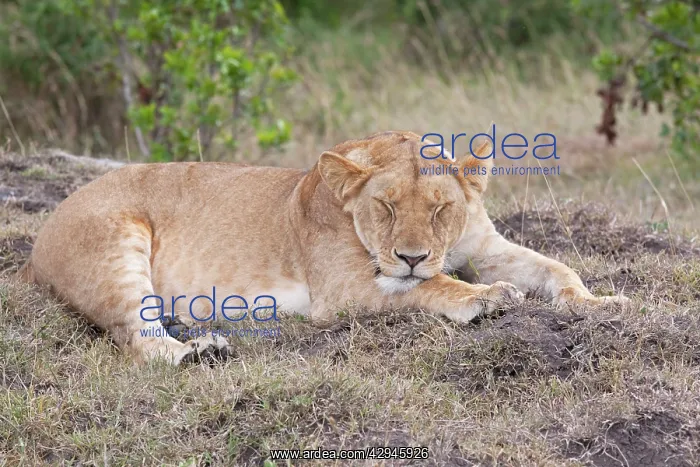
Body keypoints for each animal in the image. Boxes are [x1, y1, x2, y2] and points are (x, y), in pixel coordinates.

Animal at [17, 131, 627, 364]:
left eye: (439, 209)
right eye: (385, 208)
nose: (410, 255)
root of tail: (38, 239)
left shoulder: (487, 245)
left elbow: (556, 268)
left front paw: (601, 304)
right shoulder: (342, 290)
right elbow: (430, 287)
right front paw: (486, 298)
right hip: (117, 245)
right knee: (136, 339)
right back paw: (201, 351)